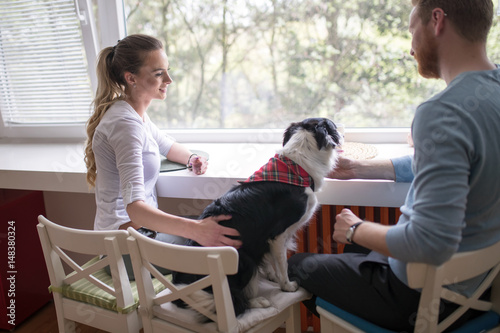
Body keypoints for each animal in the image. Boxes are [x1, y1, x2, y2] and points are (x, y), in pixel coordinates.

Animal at [173, 116, 344, 316]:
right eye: (333, 126)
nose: (343, 131)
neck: (296, 168)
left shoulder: (264, 240)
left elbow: (268, 259)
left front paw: (271, 275)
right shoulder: (278, 235)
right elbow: (282, 264)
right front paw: (286, 285)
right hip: (240, 257)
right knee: (234, 301)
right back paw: (258, 301)